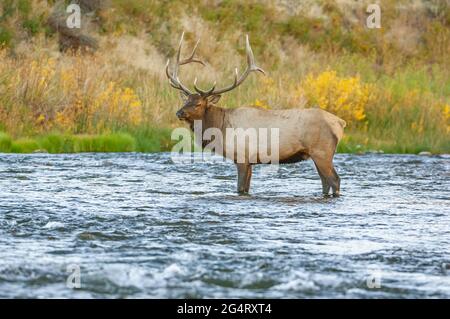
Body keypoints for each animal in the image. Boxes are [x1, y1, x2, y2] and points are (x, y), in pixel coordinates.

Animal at [167, 33, 346, 198]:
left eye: (198, 104)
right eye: (186, 100)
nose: (179, 112)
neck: (221, 127)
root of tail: (340, 122)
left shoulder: (242, 156)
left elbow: (240, 188)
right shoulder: (251, 161)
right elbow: (246, 188)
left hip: (322, 152)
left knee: (335, 179)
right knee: (325, 182)